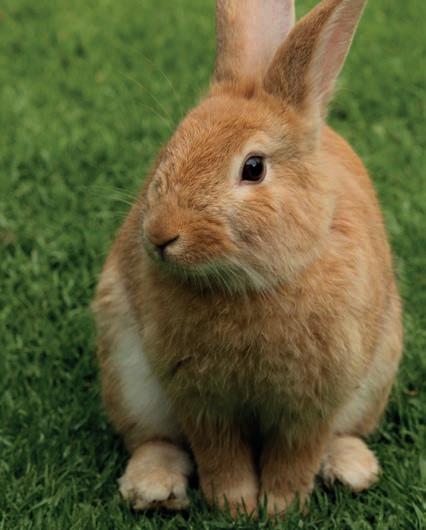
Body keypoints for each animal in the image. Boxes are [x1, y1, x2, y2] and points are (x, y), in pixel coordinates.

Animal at [92, 0, 403, 517]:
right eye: (170, 148)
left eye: (253, 168)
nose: (160, 235)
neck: (250, 285)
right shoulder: (200, 400)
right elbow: (220, 453)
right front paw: (235, 504)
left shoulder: (313, 404)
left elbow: (296, 455)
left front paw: (279, 507)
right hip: (128, 375)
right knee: (154, 440)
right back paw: (155, 490)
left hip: (375, 380)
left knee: (344, 434)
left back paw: (351, 471)